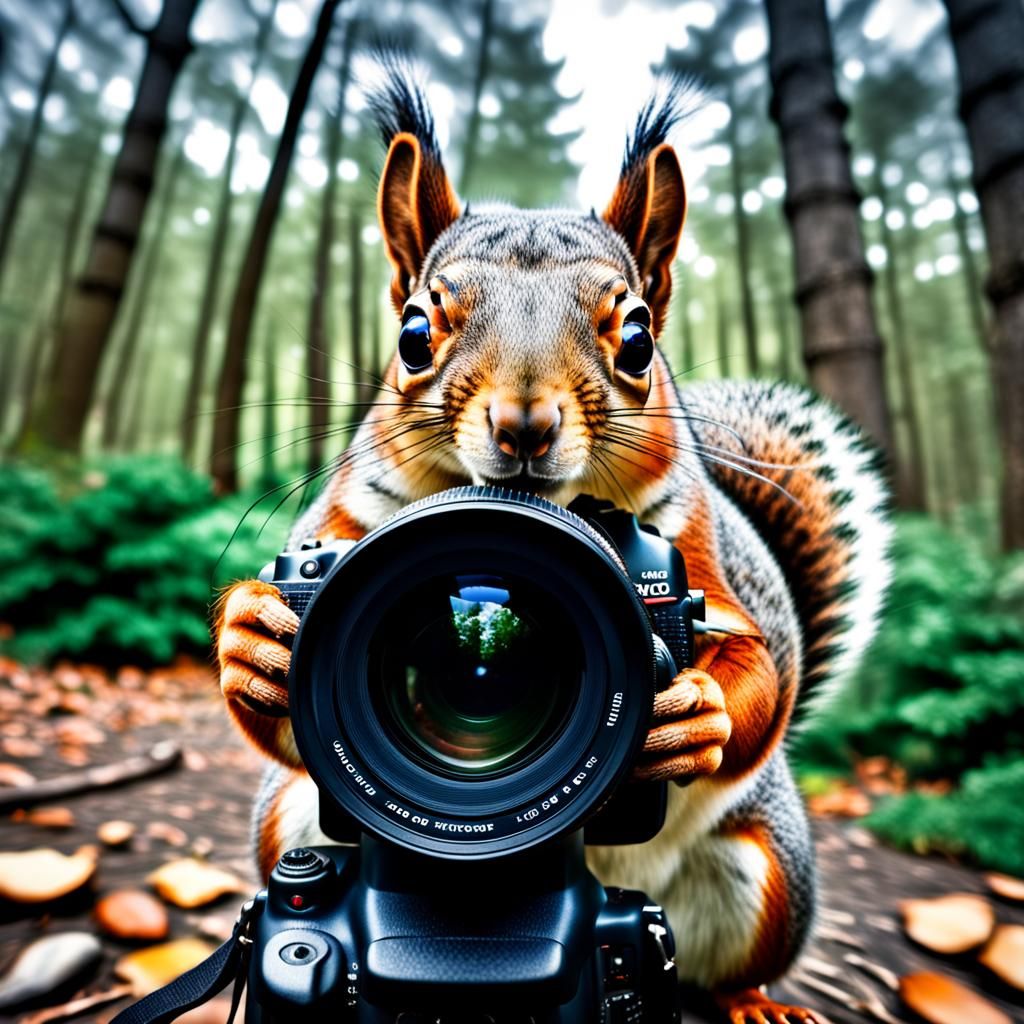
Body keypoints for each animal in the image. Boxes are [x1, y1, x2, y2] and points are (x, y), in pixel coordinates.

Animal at [215, 65, 891, 1024]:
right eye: (412, 333)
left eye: (639, 337)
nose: (525, 424)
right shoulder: (337, 534)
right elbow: (280, 712)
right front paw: (255, 637)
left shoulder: (697, 557)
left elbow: (759, 667)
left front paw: (698, 711)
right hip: (290, 825)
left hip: (763, 872)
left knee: (734, 962)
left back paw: (754, 1000)